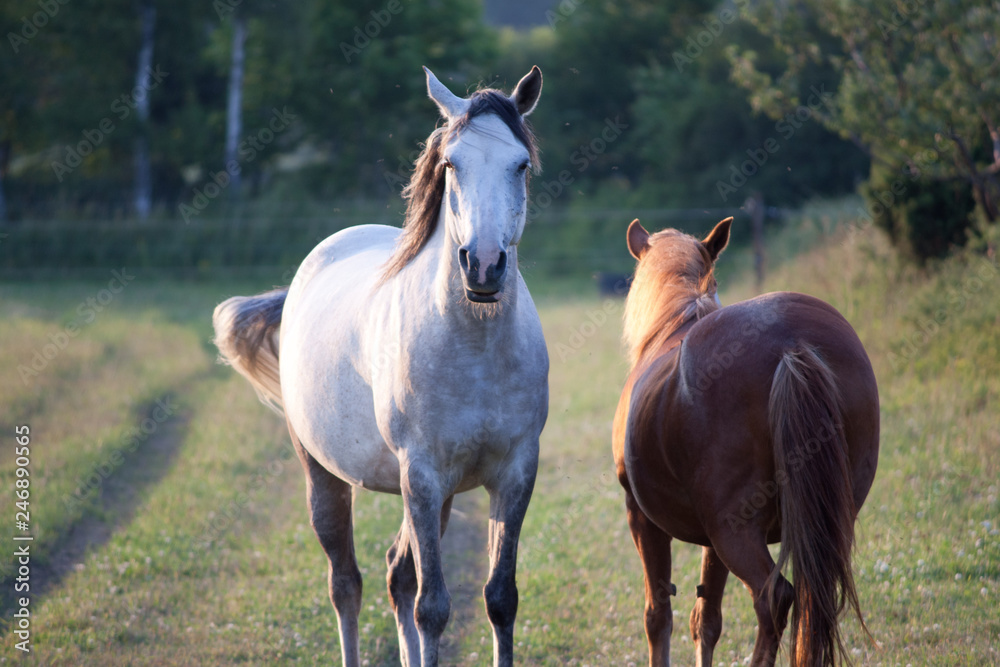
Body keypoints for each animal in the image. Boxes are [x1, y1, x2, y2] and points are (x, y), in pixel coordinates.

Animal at [212, 66, 548, 667]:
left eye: (521, 165)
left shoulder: (513, 475)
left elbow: (500, 599)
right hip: (325, 475)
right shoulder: (422, 475)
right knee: (347, 583)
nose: (484, 266)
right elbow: (433, 608)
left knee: (398, 574)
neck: (476, 352)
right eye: (451, 164)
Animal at [613, 217, 879, 667]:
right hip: (823, 522)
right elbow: (706, 618)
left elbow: (658, 615)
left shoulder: (643, 517)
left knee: (774, 597)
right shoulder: (708, 538)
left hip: (734, 531)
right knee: (812, 599)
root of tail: (791, 345)